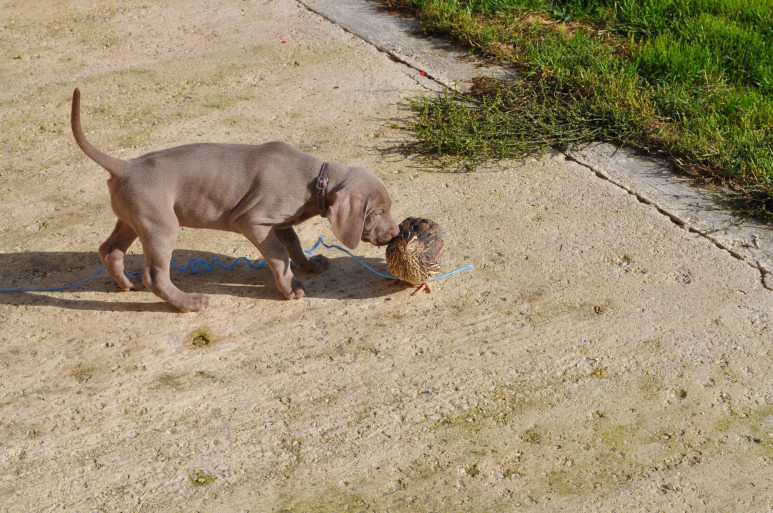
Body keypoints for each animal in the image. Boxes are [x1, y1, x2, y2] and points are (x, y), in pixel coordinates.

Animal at [69, 87, 402, 310]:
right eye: (377, 211)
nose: (397, 233)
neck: (317, 181)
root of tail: (126, 166)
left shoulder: (278, 222)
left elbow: (293, 243)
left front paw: (309, 264)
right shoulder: (252, 221)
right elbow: (279, 255)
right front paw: (290, 286)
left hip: (133, 217)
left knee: (110, 250)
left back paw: (127, 284)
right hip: (160, 224)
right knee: (155, 276)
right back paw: (188, 302)